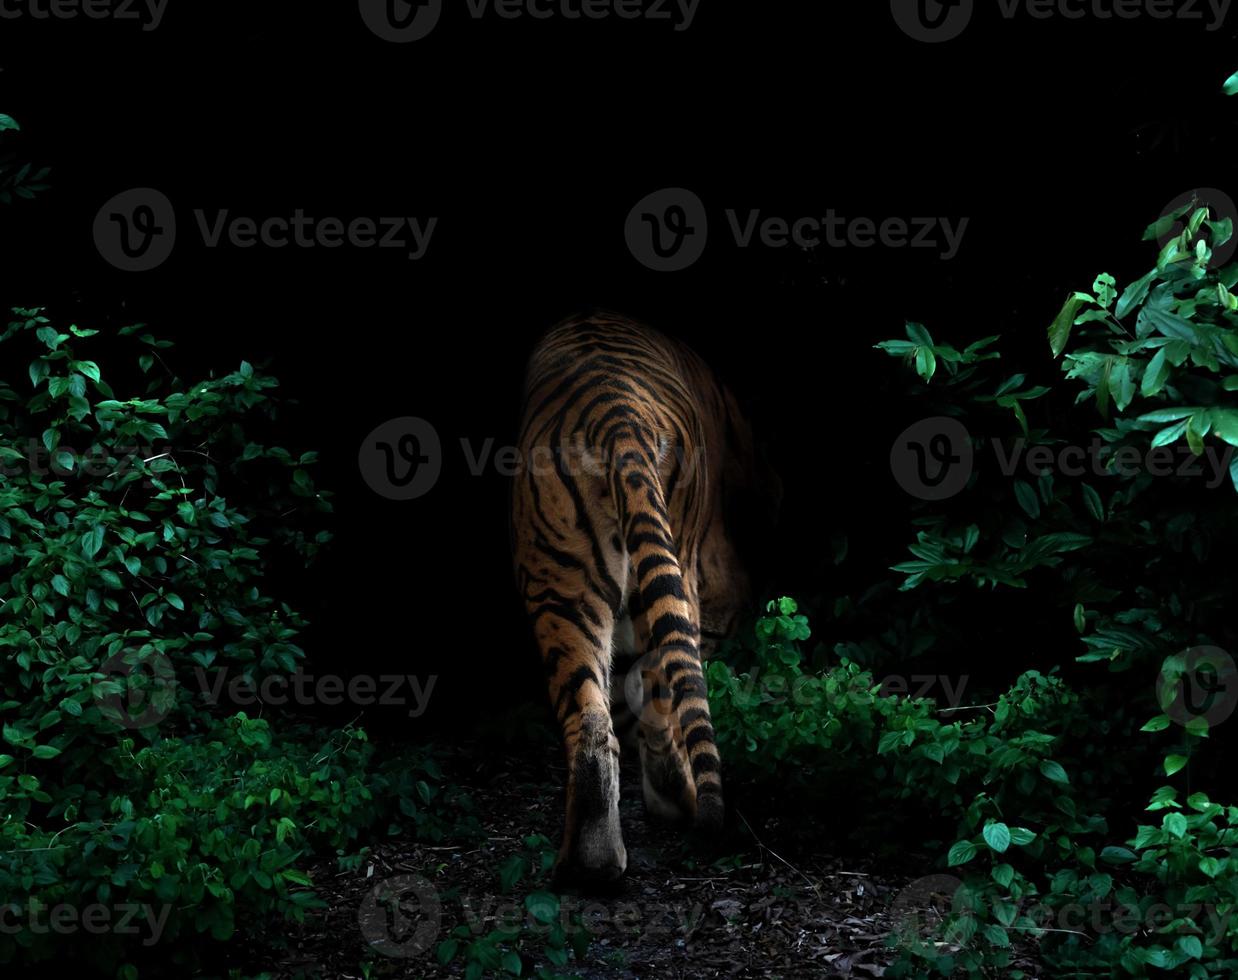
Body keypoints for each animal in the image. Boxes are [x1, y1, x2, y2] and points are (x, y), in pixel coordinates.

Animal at [510, 308, 777, 885]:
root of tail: (616, 419)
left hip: (560, 586)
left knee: (592, 723)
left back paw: (591, 863)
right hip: (676, 571)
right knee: (658, 683)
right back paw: (678, 800)